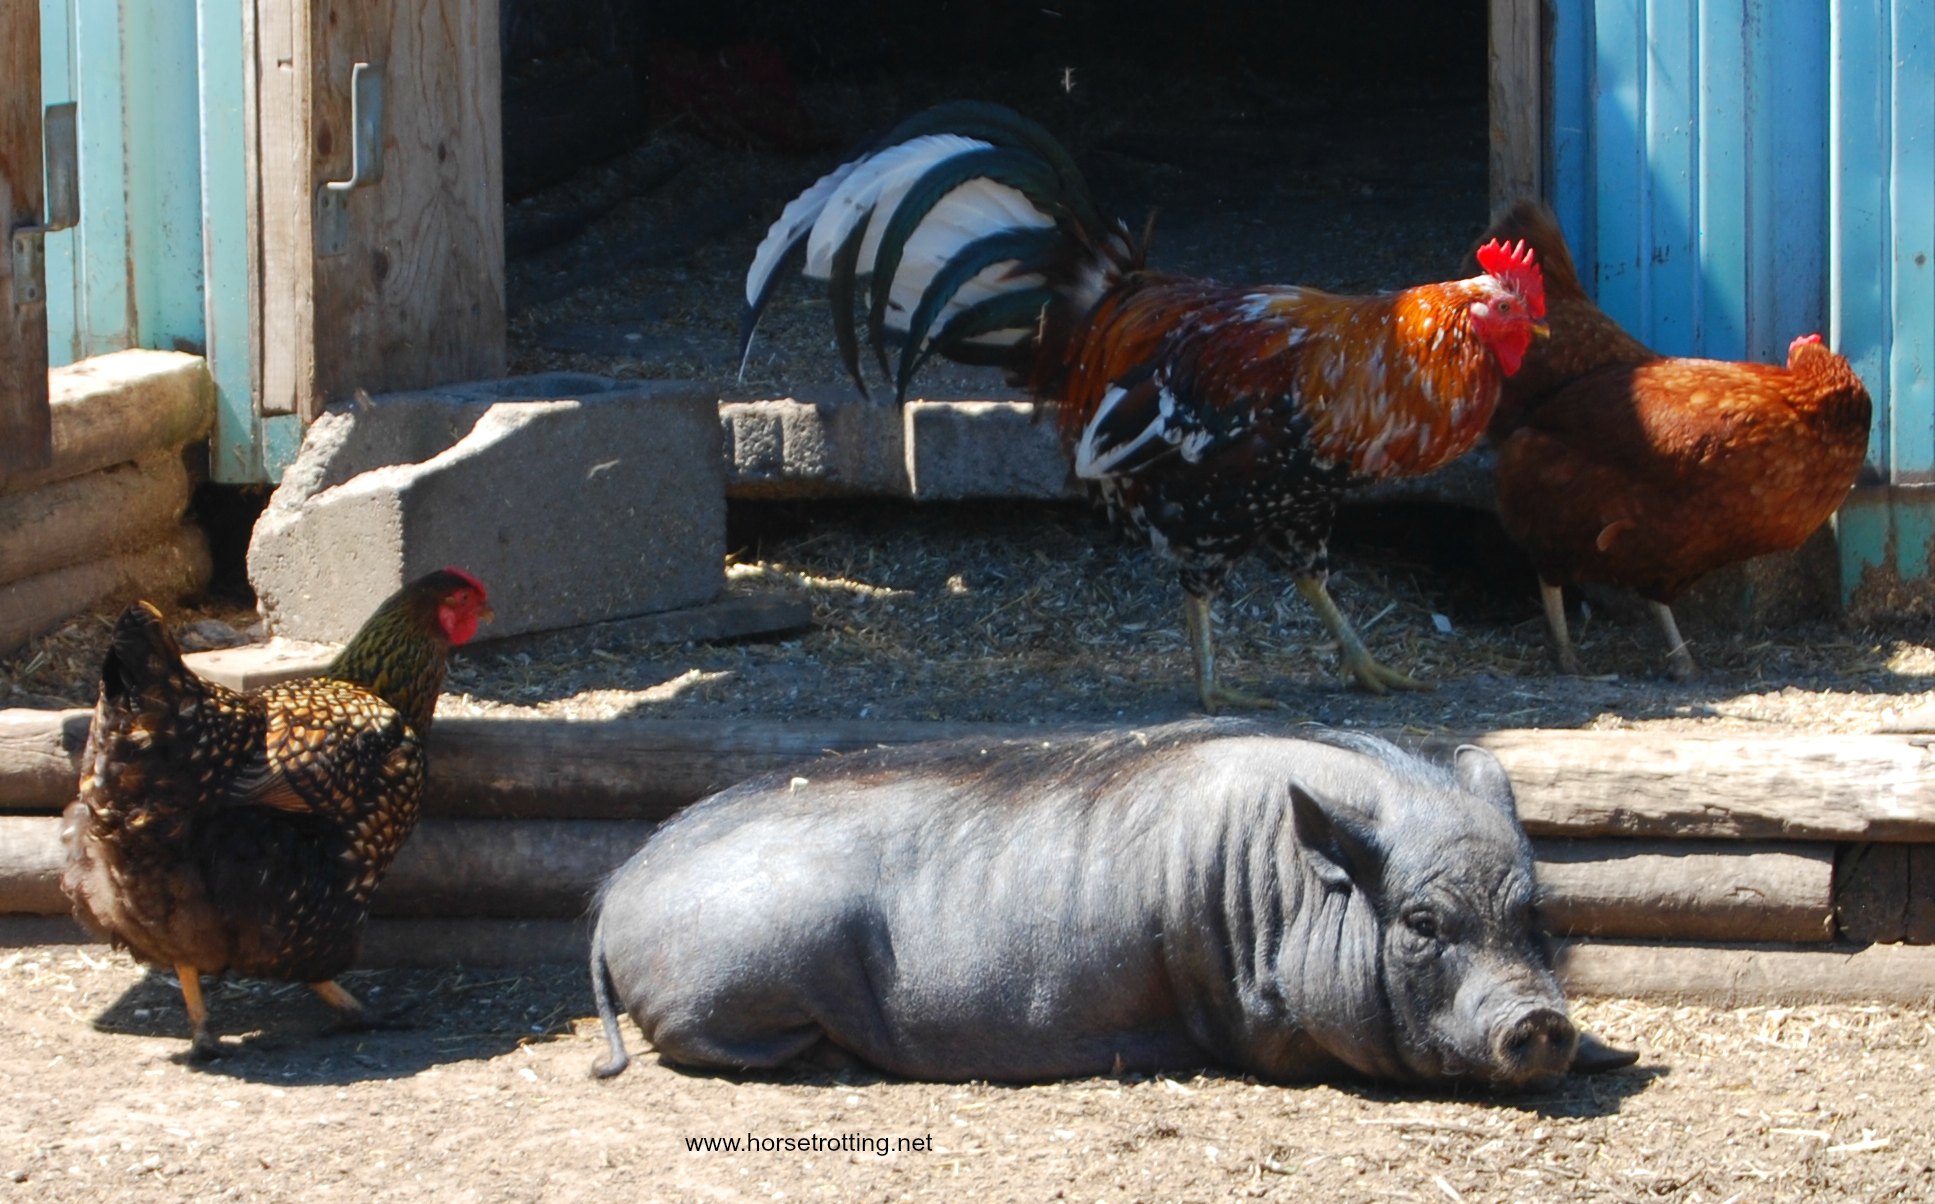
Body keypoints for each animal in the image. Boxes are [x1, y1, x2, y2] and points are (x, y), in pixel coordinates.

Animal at [588, 720, 1635, 1087]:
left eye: (1536, 917)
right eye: (1421, 923)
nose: (1538, 1019)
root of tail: (611, 899)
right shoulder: (1256, 1023)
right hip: (733, 991)